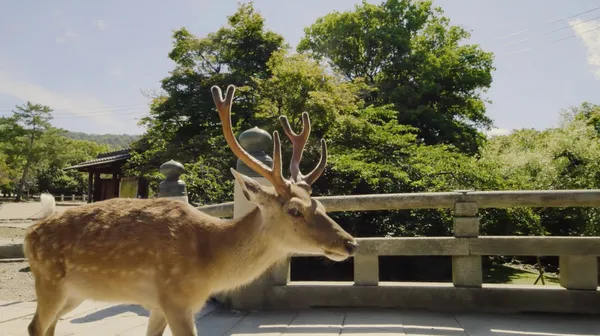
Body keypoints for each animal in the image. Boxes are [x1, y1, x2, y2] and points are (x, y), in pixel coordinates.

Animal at [23, 84, 358, 336]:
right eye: (294, 210)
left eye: (321, 204)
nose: (351, 243)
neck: (208, 262)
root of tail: (30, 233)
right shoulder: (176, 299)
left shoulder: (160, 306)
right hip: (49, 281)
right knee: (35, 326)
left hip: (74, 293)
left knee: (49, 326)